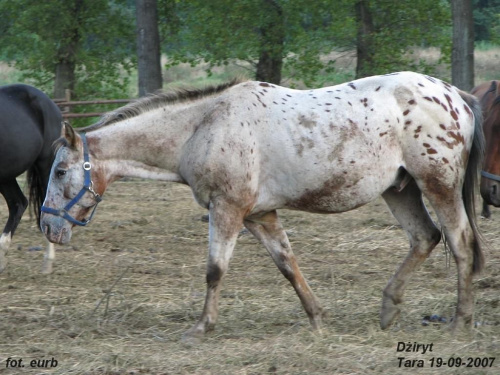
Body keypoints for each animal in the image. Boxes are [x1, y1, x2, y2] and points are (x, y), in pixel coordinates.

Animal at [39, 72, 484, 342]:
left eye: (60, 171)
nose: (47, 227)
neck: (203, 127)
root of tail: (456, 96)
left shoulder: (228, 209)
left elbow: (215, 271)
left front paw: (201, 327)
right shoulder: (259, 215)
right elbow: (287, 264)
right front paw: (317, 319)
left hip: (438, 186)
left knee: (460, 243)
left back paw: (460, 322)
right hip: (400, 190)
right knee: (424, 238)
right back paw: (389, 308)